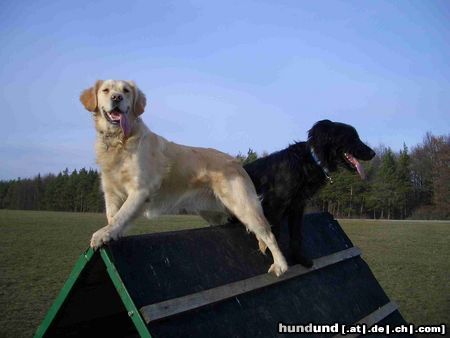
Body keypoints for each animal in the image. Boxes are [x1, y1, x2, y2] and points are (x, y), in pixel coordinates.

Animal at [244, 120, 374, 268]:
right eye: (353, 138)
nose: (373, 153)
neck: (311, 161)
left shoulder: (298, 206)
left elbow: (296, 235)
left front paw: (299, 258)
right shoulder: (275, 204)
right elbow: (274, 234)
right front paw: (277, 260)